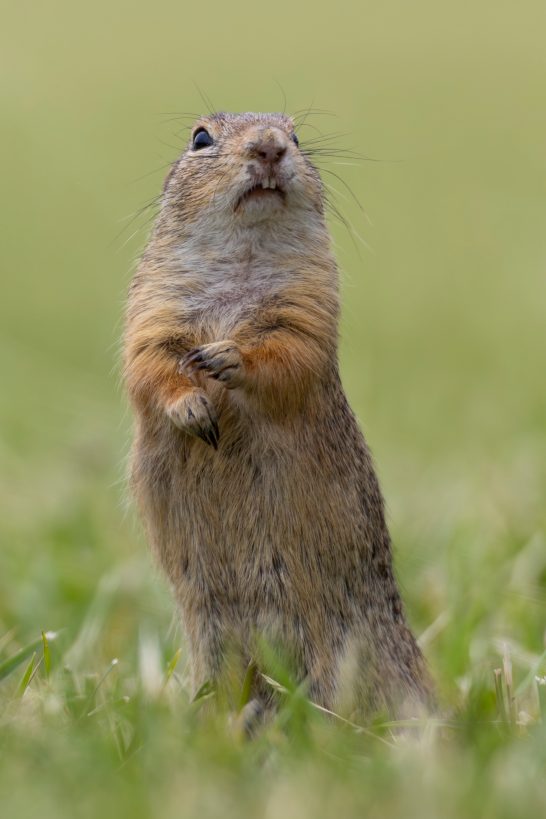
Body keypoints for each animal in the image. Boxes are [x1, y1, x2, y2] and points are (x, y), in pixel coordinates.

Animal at [123, 112, 434, 720]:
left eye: (296, 135)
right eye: (200, 137)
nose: (268, 147)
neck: (245, 255)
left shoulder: (306, 309)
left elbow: (285, 355)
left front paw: (227, 357)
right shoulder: (153, 309)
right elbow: (150, 365)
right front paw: (193, 406)